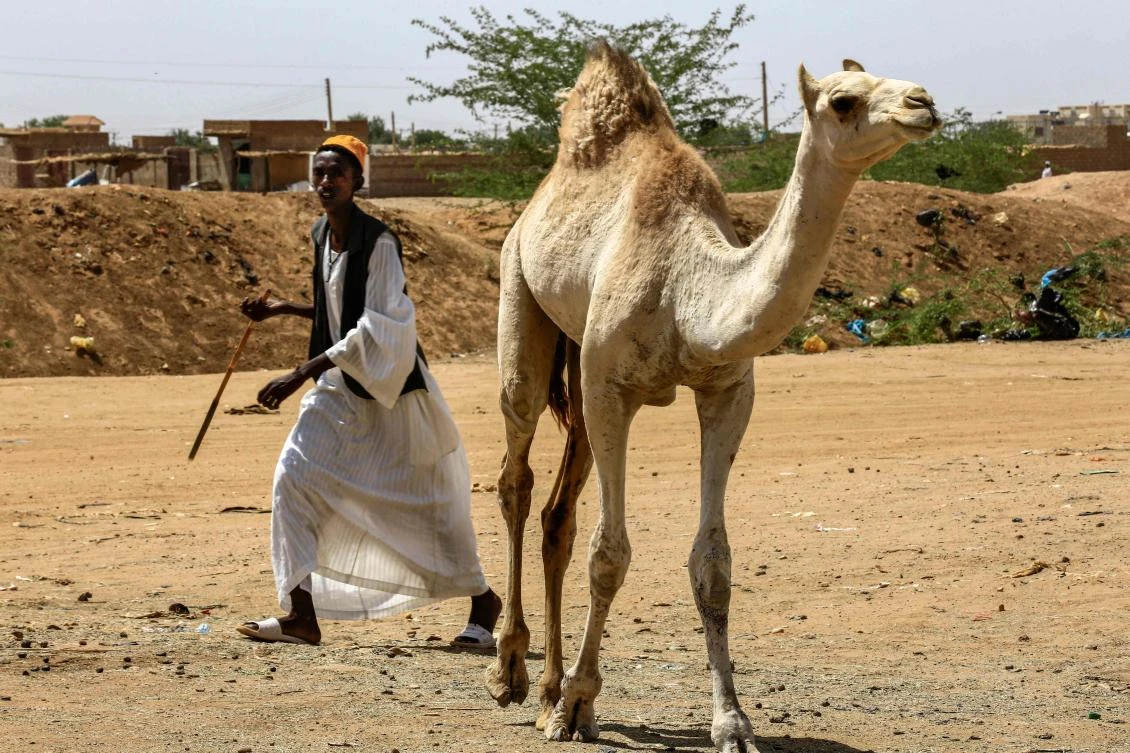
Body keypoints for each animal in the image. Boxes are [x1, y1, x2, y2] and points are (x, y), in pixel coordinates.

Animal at [485, 42, 940, 751]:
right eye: (843, 99)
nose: (924, 102)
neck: (688, 290)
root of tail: (534, 203)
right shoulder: (611, 387)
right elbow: (609, 554)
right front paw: (579, 706)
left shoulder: (727, 393)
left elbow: (713, 564)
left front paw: (733, 722)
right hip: (521, 305)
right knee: (516, 471)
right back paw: (511, 672)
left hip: (579, 371)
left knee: (558, 515)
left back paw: (548, 688)